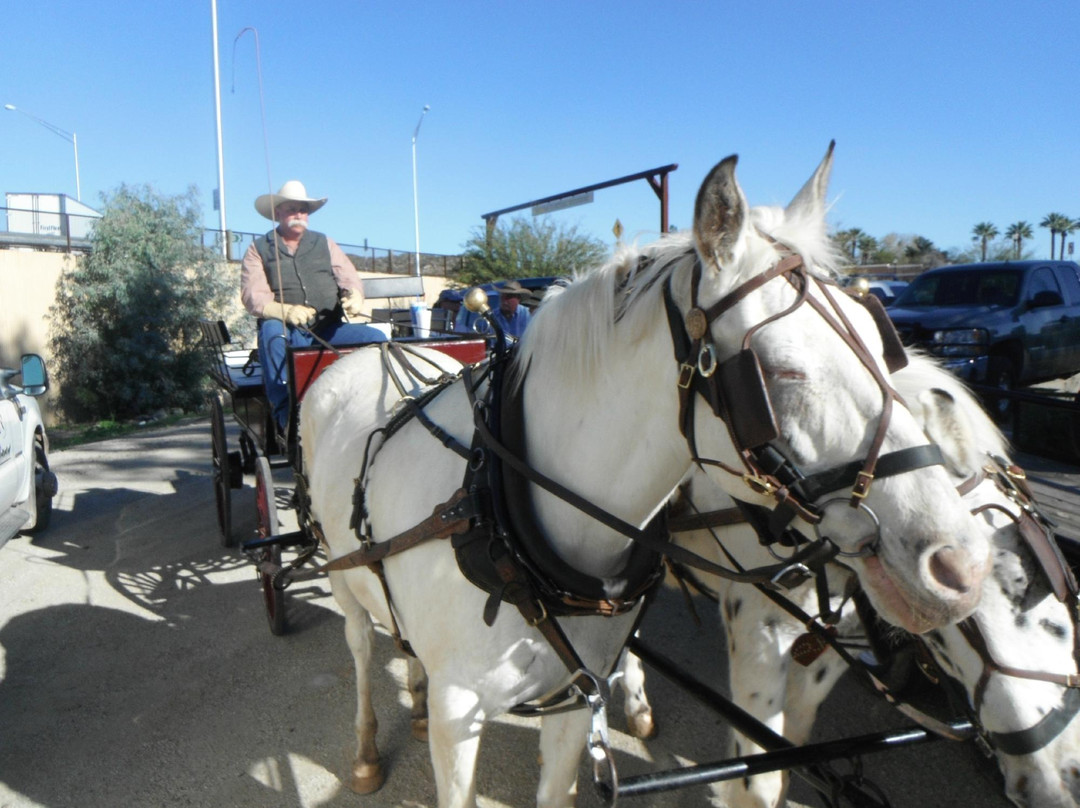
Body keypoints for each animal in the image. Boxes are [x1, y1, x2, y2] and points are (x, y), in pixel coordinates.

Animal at [298, 146, 992, 807]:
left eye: (885, 349)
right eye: (782, 372)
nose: (961, 566)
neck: (502, 515)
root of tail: (374, 347)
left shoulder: (573, 697)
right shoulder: (458, 716)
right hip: (339, 569)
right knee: (359, 648)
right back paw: (366, 750)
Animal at [619, 351, 1080, 808]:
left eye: (1040, 577)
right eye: (944, 626)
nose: (1058, 785)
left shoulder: (833, 640)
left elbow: (792, 748)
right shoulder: (757, 632)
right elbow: (759, 781)